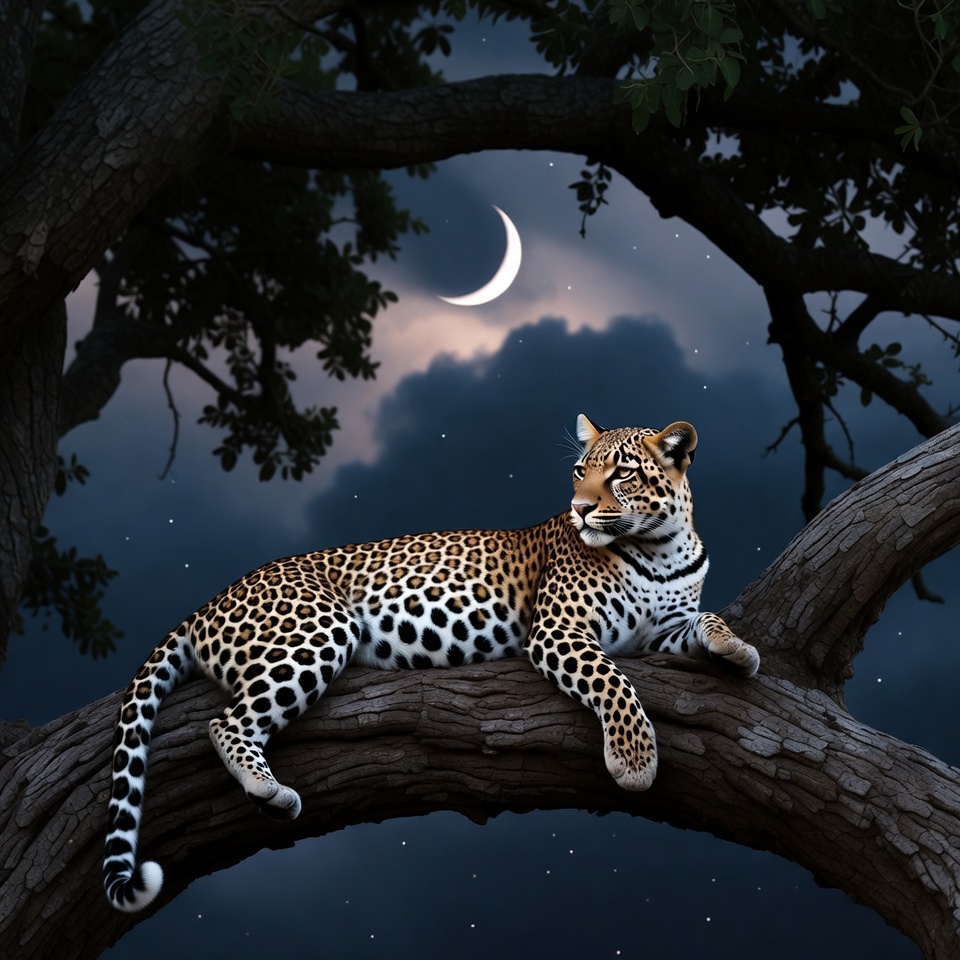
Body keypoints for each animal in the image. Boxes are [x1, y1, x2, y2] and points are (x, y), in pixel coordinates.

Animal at [103, 414, 760, 912]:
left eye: (621, 472)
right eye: (579, 471)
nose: (577, 509)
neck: (662, 547)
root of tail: (207, 603)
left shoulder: (663, 632)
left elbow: (705, 621)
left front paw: (739, 649)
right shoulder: (558, 630)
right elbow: (614, 682)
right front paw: (634, 761)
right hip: (318, 630)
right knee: (225, 722)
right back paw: (270, 791)